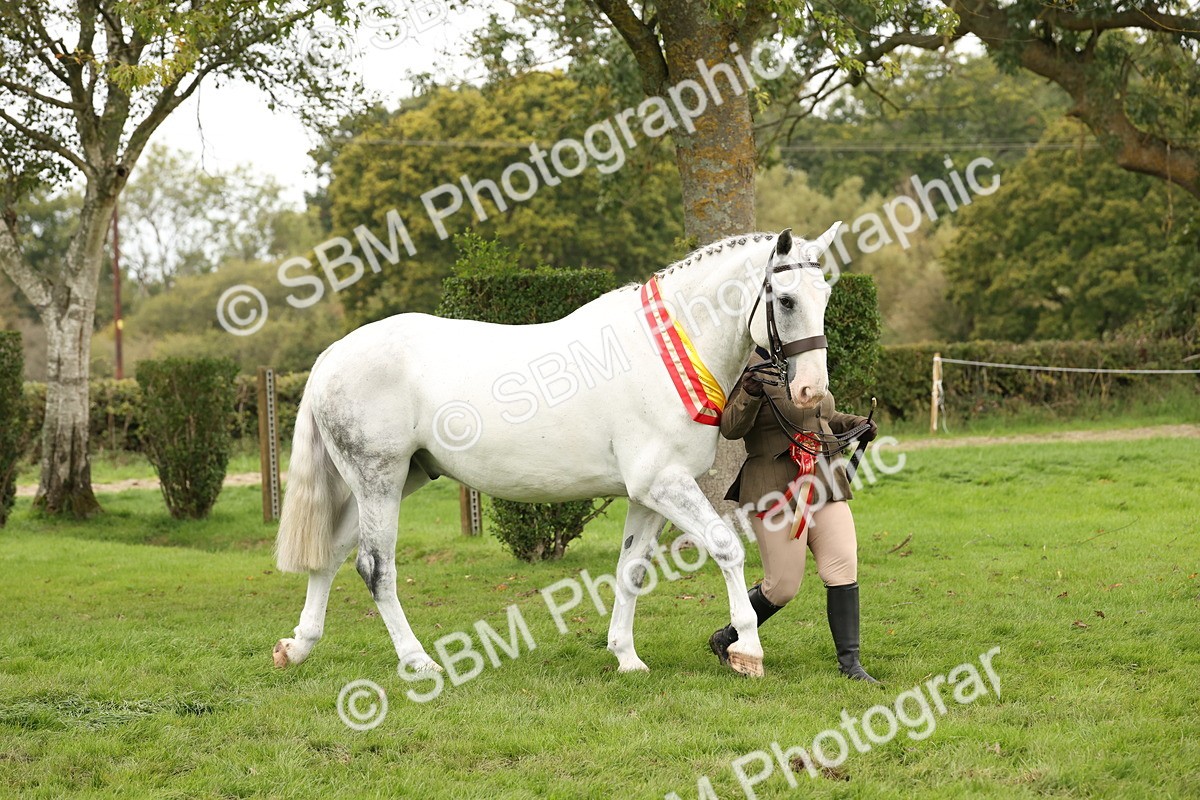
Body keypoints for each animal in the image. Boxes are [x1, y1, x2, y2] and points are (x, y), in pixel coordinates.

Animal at [271, 225, 841, 678]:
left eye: (826, 296)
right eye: (786, 300)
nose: (812, 391)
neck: (667, 350)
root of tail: (331, 356)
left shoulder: (648, 494)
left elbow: (631, 569)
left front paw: (626, 656)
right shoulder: (664, 483)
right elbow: (726, 548)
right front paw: (748, 649)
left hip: (395, 479)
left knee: (331, 552)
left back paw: (298, 647)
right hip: (379, 479)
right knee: (375, 566)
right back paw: (417, 661)